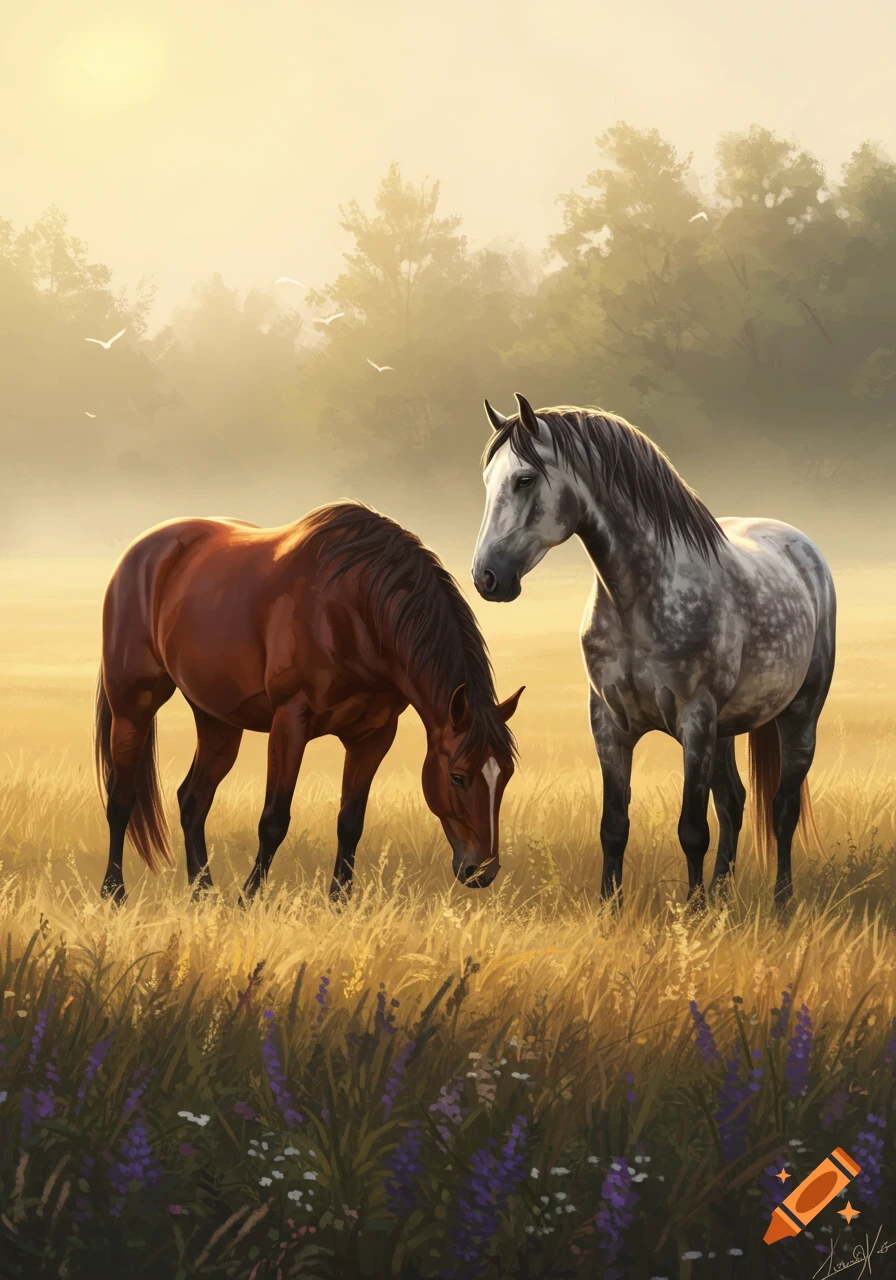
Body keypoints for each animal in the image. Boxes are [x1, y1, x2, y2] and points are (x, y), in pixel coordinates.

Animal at [94, 501, 524, 905]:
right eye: (458, 776)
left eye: (505, 775)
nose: (481, 871)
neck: (355, 609)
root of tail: (142, 550)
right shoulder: (291, 721)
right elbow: (273, 820)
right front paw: (248, 900)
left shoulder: (374, 735)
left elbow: (351, 821)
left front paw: (340, 902)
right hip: (133, 704)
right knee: (122, 798)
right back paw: (114, 892)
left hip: (218, 720)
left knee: (192, 800)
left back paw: (204, 894)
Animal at [471, 393, 835, 909]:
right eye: (487, 481)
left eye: (524, 479)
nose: (486, 577)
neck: (637, 602)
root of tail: (801, 547)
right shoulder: (608, 724)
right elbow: (614, 826)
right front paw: (611, 908)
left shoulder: (696, 721)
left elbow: (692, 830)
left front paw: (695, 912)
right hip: (726, 729)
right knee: (735, 802)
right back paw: (724, 895)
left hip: (800, 713)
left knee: (782, 808)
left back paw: (781, 902)